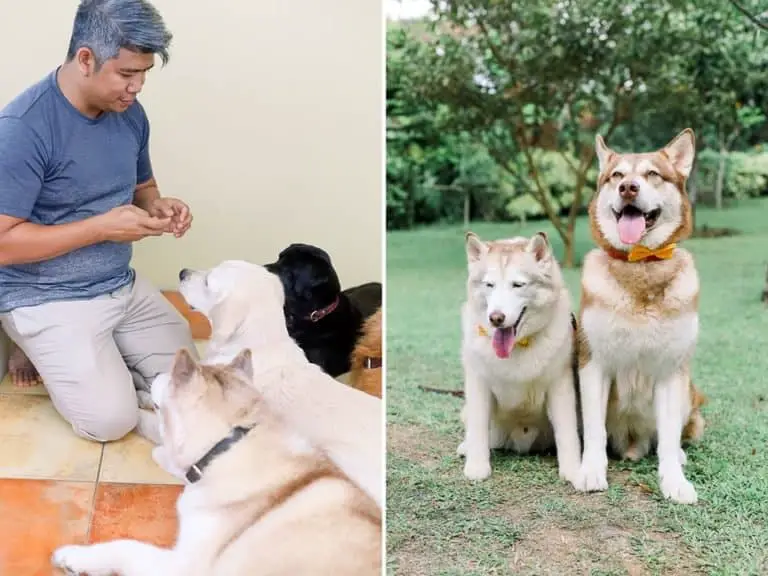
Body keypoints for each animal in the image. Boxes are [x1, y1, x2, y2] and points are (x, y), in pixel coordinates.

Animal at [51, 346, 380, 576]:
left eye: (171, 374)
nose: (155, 374)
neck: (229, 445)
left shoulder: (183, 566)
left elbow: (126, 547)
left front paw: (76, 556)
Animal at [456, 231, 584, 486]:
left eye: (518, 285)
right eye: (489, 285)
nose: (496, 318)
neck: (517, 347)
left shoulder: (560, 385)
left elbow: (567, 432)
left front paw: (573, 470)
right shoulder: (478, 384)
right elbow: (478, 427)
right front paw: (477, 466)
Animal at [576, 127, 708, 504]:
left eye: (652, 174)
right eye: (616, 175)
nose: (628, 188)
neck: (640, 265)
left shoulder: (670, 370)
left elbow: (668, 437)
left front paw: (674, 481)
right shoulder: (593, 363)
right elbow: (594, 430)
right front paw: (590, 470)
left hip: (688, 390)